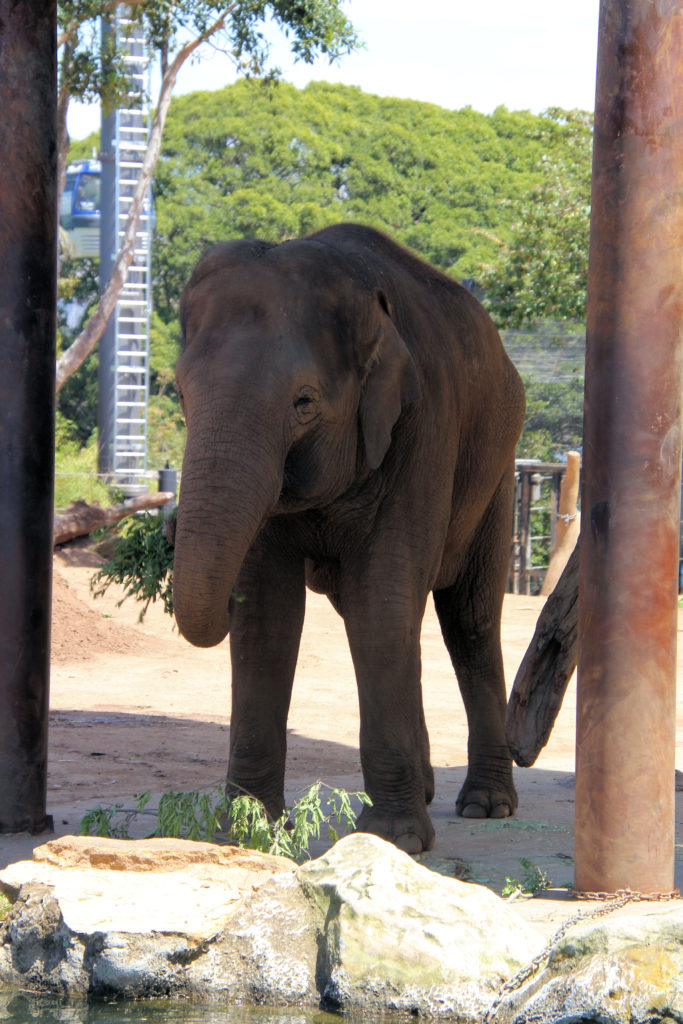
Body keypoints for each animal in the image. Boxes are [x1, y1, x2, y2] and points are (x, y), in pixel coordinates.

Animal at [174, 226, 528, 856]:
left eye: (304, 402)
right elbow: (267, 617)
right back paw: (430, 789)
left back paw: (486, 805)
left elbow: (382, 601)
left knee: (469, 617)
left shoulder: (422, 428)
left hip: (497, 477)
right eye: (180, 393)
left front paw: (395, 841)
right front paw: (244, 838)